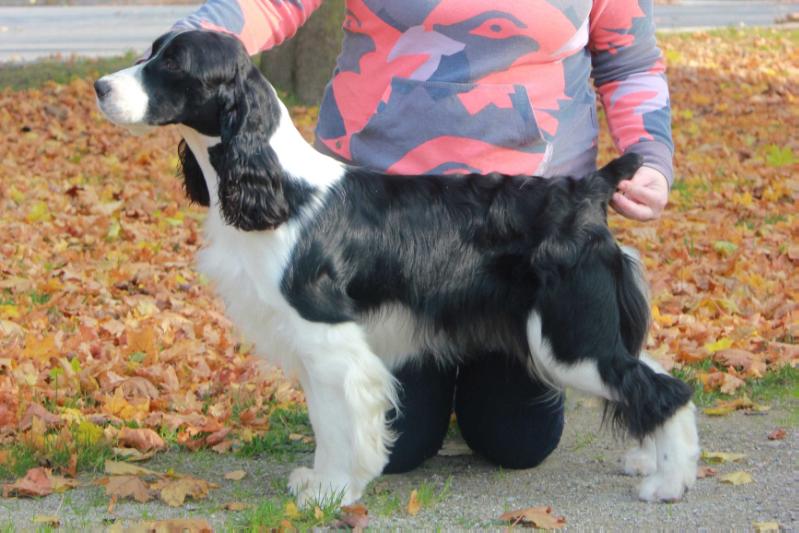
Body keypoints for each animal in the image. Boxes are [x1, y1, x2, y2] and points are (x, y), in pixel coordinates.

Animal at [95, 30, 700, 508]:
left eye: (174, 64)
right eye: (151, 51)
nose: (100, 86)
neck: (282, 187)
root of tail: (587, 189)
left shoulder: (328, 336)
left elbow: (341, 423)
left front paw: (334, 491)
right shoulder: (314, 346)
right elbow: (324, 421)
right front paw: (319, 483)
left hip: (567, 340)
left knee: (664, 389)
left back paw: (667, 484)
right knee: (654, 373)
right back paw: (653, 461)